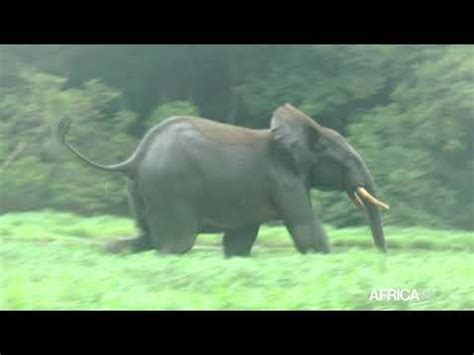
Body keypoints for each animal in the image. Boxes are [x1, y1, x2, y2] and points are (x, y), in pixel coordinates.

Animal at [56, 104, 388, 258]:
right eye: (349, 161)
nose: (381, 261)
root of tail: (135, 157)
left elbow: (239, 241)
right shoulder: (285, 181)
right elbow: (306, 231)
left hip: (141, 191)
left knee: (145, 238)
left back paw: (110, 251)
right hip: (170, 189)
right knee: (175, 245)